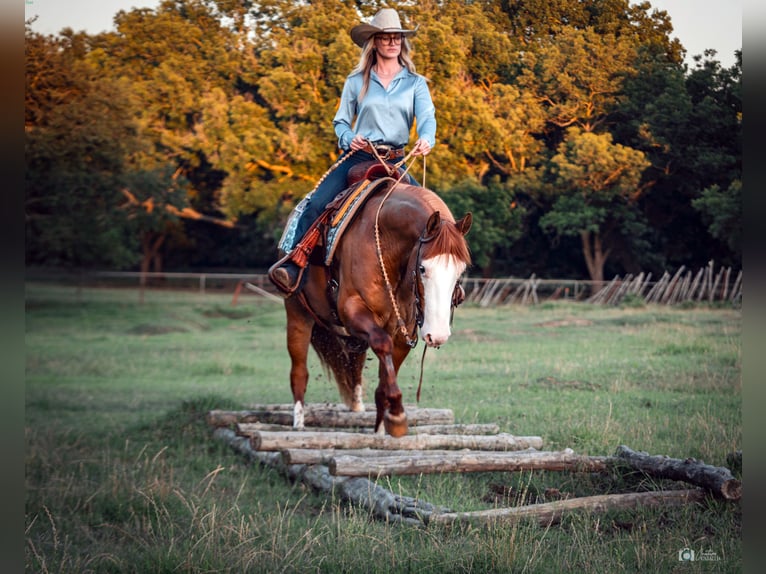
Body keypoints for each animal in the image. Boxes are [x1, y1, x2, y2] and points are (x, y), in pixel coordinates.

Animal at [284, 173, 472, 438]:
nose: (438, 335)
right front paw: (398, 414)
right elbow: (382, 345)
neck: (387, 245)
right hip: (297, 313)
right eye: (422, 268)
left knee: (354, 368)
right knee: (299, 371)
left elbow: (387, 372)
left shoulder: (404, 331)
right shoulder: (353, 311)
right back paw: (299, 423)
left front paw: (385, 424)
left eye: (460, 271)